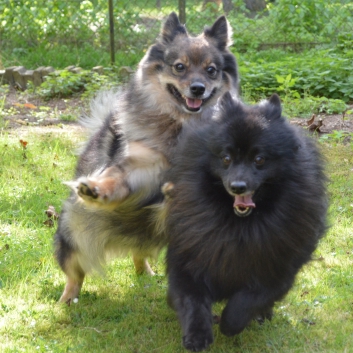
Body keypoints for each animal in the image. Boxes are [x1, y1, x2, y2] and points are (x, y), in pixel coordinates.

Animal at [160, 92, 328, 350]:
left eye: (259, 159)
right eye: (226, 158)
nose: (238, 186)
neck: (237, 227)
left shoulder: (277, 269)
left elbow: (245, 303)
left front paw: (230, 324)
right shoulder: (187, 258)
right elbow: (192, 299)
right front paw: (197, 335)